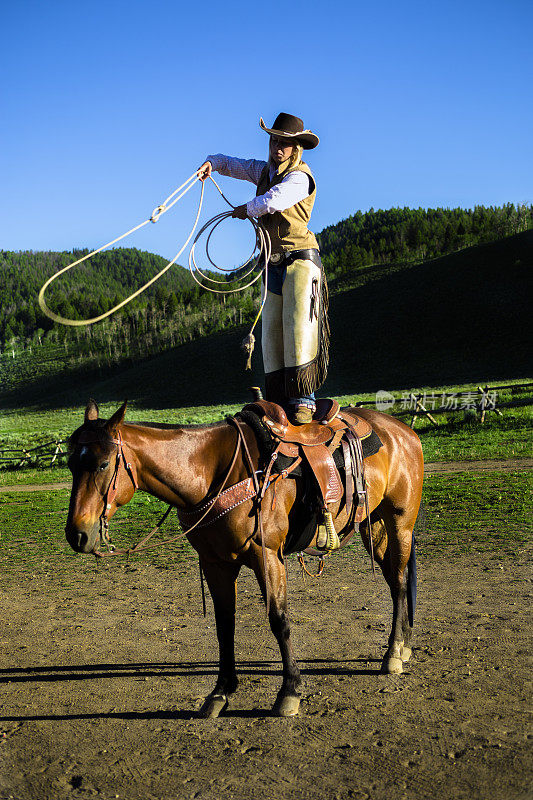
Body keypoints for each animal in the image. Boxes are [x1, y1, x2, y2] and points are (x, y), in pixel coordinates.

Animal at [66, 400, 424, 720]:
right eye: (71, 464)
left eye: (102, 464)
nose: (77, 534)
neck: (211, 472)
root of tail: (402, 431)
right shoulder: (216, 564)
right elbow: (224, 625)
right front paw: (220, 693)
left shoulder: (268, 557)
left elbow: (279, 620)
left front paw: (289, 692)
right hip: (373, 525)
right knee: (394, 579)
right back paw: (403, 645)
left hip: (399, 522)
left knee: (400, 580)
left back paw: (393, 653)